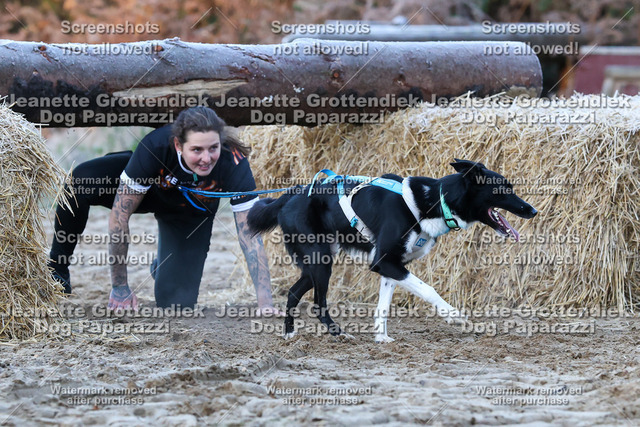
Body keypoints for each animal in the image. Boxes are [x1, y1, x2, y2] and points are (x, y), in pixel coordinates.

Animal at [247, 159, 537, 342]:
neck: (434, 201)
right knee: (318, 303)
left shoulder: (391, 266)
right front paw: (453, 315)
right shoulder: (384, 262)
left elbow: (383, 306)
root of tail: (287, 196)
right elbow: (428, 289)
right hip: (321, 261)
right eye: (503, 189)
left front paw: (381, 337)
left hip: (315, 263)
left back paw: (289, 334)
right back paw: (338, 333)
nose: (533, 210)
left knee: (294, 292)